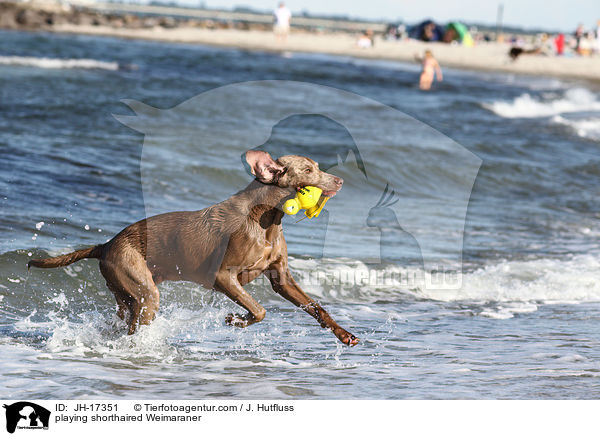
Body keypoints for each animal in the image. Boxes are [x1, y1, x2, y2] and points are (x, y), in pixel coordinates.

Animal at [29, 152, 360, 346]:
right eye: (308, 170)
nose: (342, 180)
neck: (266, 219)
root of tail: (107, 244)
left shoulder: (282, 278)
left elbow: (316, 307)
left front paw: (345, 334)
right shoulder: (223, 277)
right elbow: (260, 309)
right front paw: (236, 320)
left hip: (127, 296)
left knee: (121, 323)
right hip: (143, 289)